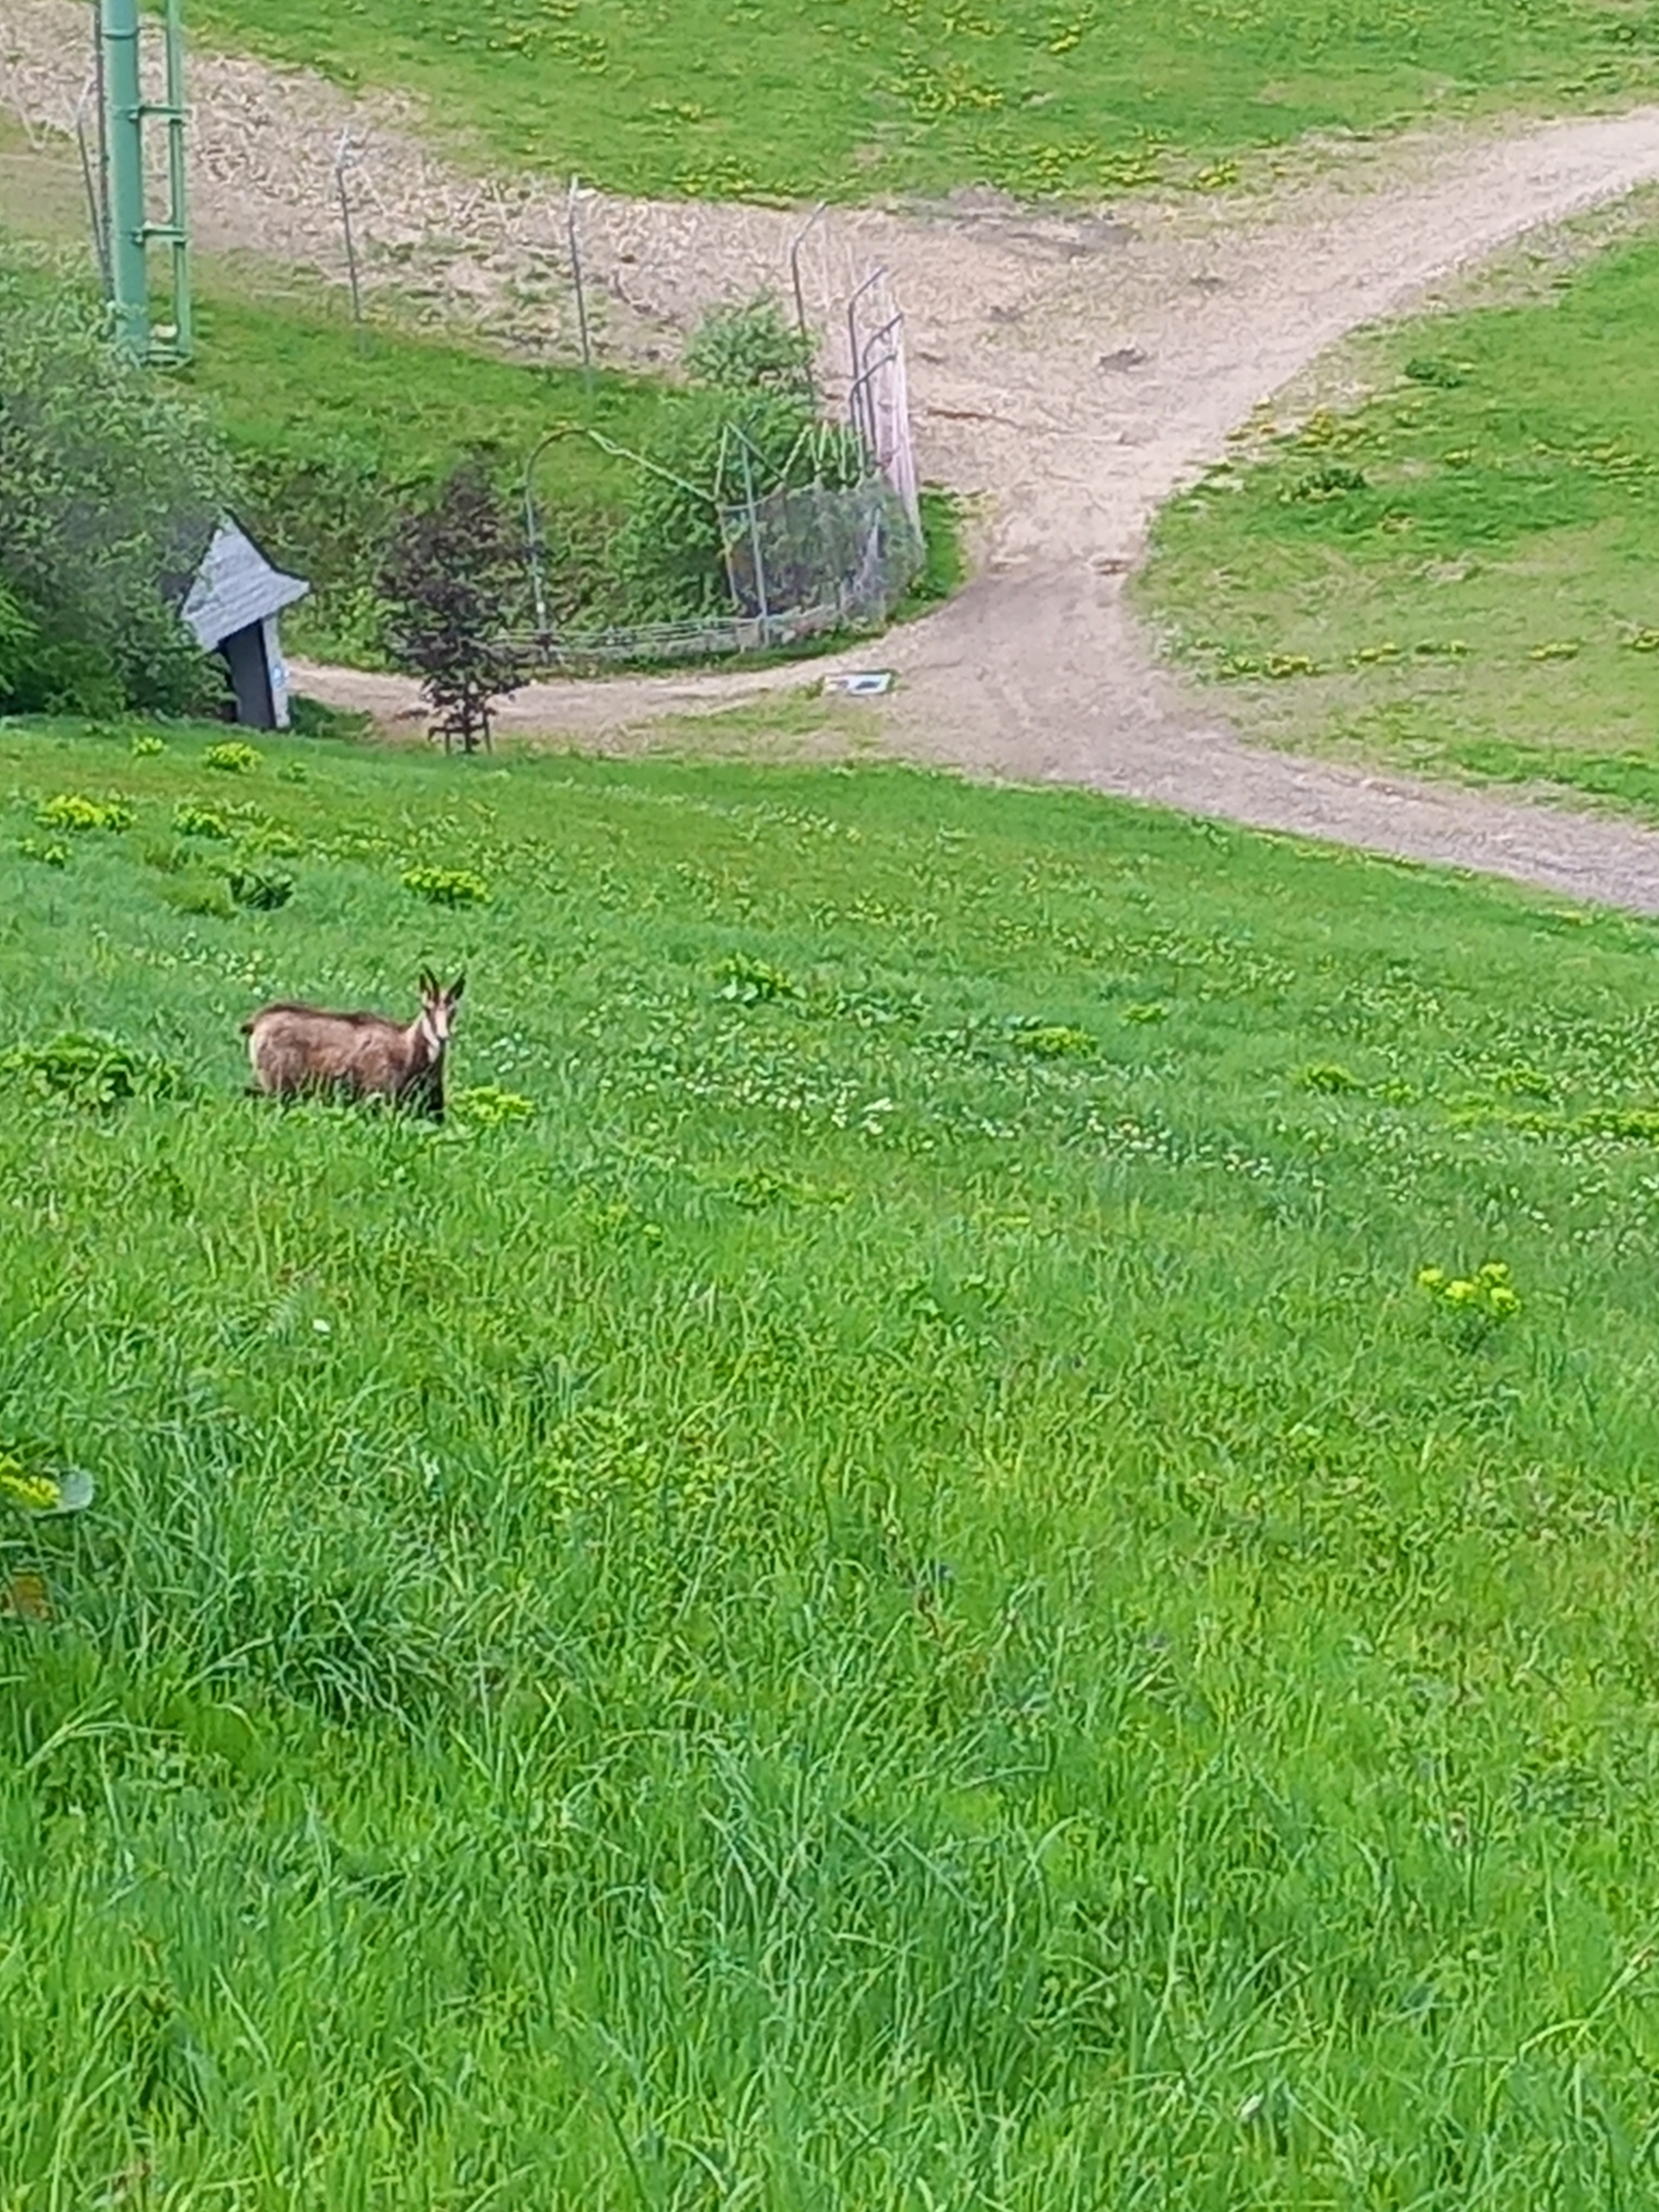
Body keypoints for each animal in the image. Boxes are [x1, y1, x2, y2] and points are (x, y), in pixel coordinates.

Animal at [243, 970, 465, 1120]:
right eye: (427, 1008)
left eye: (453, 1011)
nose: (442, 1037)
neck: (408, 1050)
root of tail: (258, 1022)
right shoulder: (377, 1097)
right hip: (278, 1087)